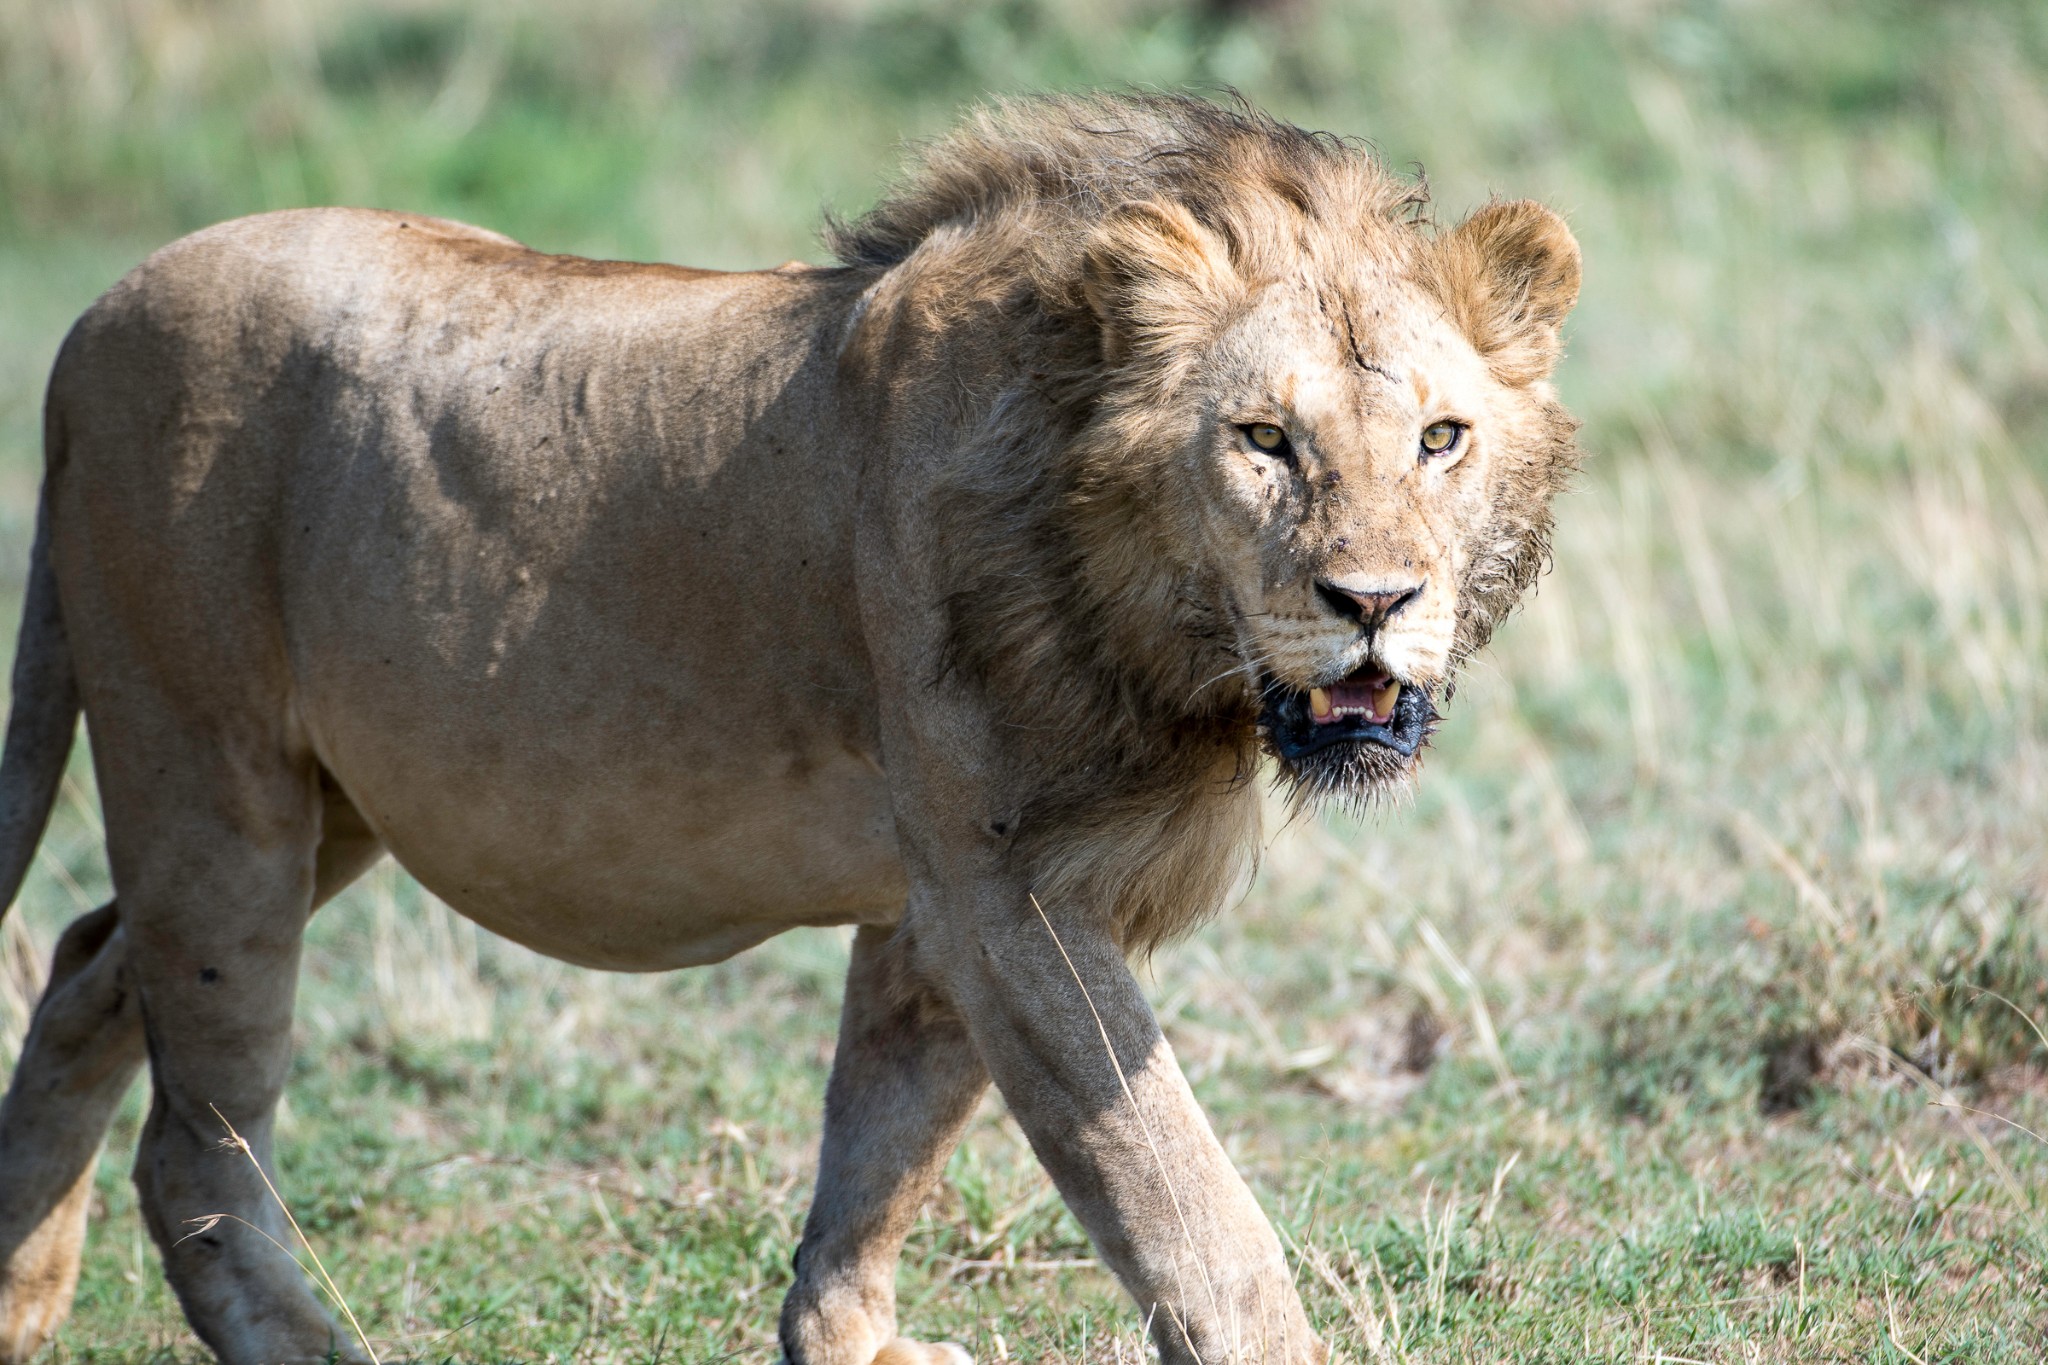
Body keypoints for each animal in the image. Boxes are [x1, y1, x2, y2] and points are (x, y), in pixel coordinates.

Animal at [0, 96, 1581, 1365]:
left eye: (1439, 439)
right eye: (1263, 441)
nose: (1373, 602)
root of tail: (84, 331)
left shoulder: (941, 903)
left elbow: (877, 1152)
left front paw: (849, 1341)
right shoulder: (1007, 895)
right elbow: (1184, 1200)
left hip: (321, 804)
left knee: (84, 966)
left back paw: (20, 1296)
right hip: (210, 772)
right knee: (191, 1141)